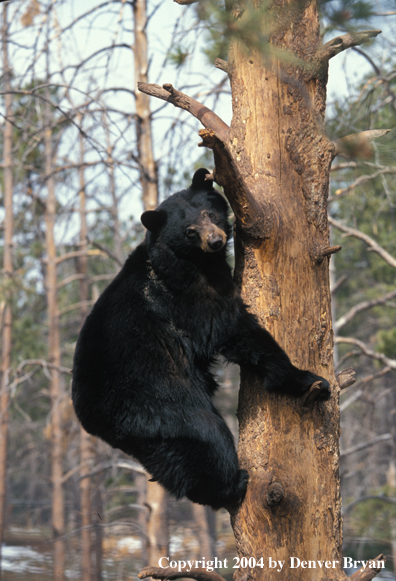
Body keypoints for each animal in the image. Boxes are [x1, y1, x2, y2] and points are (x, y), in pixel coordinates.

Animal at [72, 168, 332, 508]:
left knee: (174, 460)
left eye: (209, 212)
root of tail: (92, 420)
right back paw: (233, 484)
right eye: (190, 231)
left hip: (152, 430)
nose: (215, 240)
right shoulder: (188, 290)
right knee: (207, 436)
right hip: (160, 402)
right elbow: (232, 329)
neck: (197, 261)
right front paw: (307, 379)